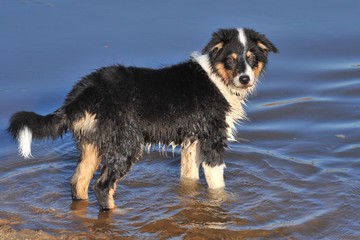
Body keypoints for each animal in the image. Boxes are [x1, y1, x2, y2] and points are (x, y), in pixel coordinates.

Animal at [7, 27, 278, 208]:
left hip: (92, 142)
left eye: (252, 59)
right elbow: (217, 183)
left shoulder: (191, 141)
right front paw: (223, 201)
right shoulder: (213, 139)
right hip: (125, 144)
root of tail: (87, 89)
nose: (245, 79)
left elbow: (189, 179)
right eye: (231, 60)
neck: (217, 77)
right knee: (101, 186)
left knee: (78, 182)